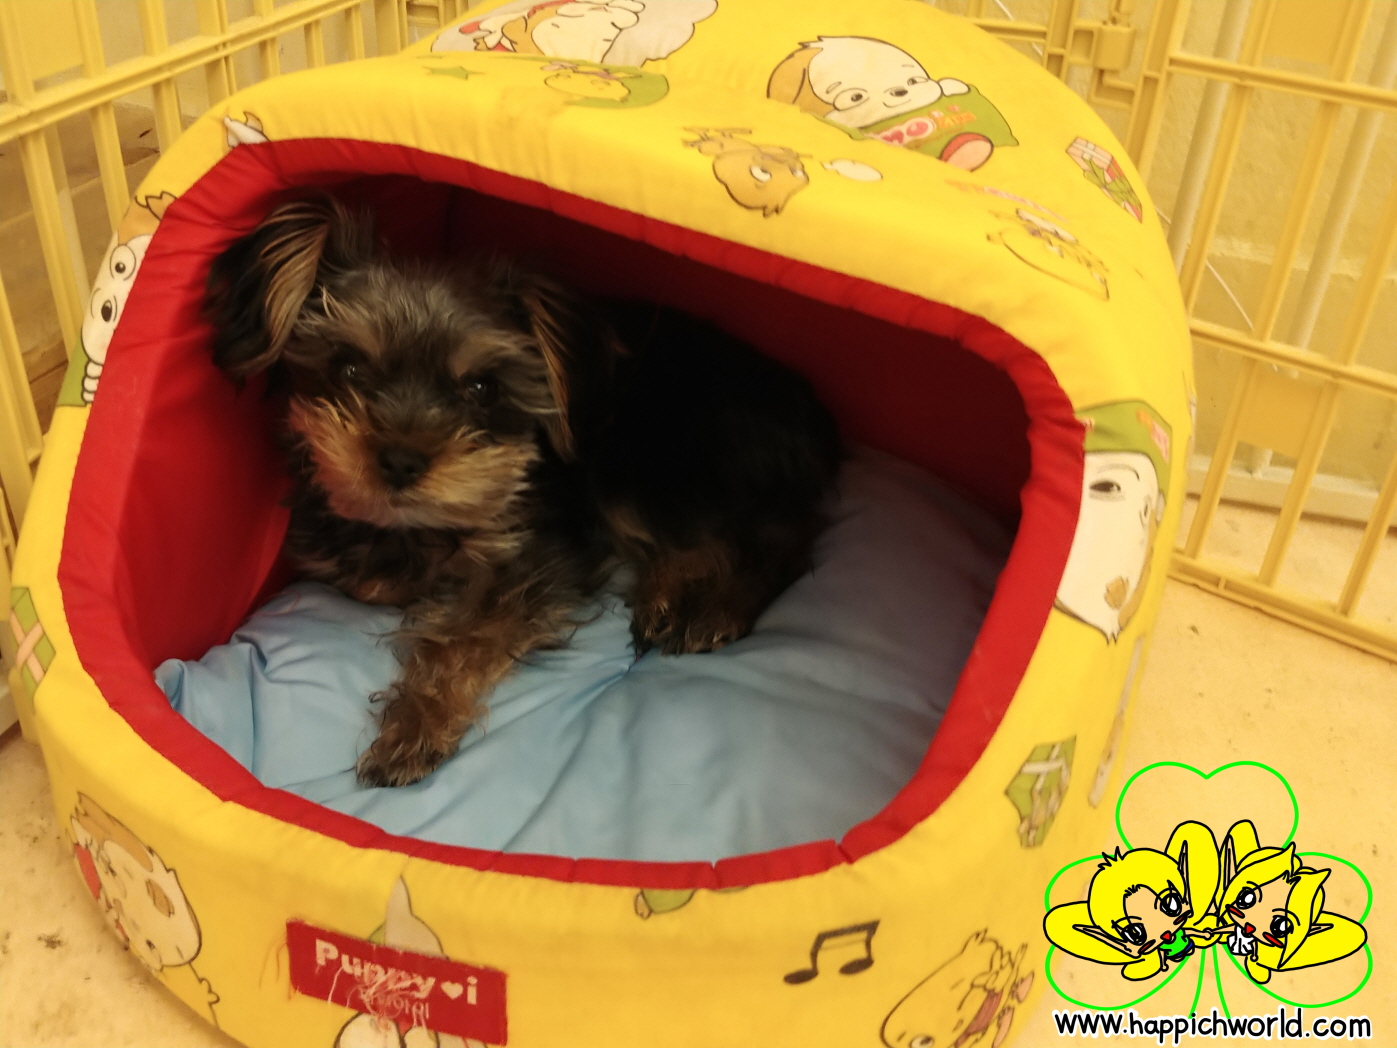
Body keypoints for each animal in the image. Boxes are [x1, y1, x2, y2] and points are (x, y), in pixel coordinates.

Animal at [204, 195, 840, 787]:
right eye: (349, 369)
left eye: (482, 388)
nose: (401, 460)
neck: (417, 528)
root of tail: (810, 410)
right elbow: (377, 580)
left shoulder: (535, 561)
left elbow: (461, 635)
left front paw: (415, 726)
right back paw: (666, 594)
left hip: (645, 469)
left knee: (773, 540)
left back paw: (711, 609)